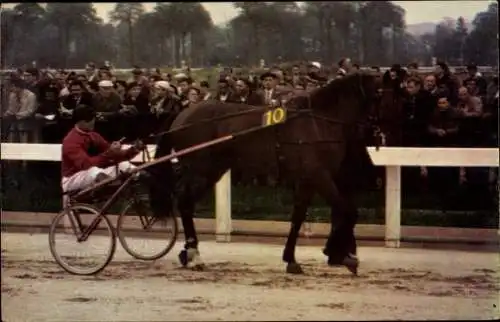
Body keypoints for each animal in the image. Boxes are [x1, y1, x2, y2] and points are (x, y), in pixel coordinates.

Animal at [146, 73, 380, 274]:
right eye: (379, 93)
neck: (317, 123)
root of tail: (181, 115)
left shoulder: (306, 180)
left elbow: (299, 217)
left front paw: (293, 259)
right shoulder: (318, 175)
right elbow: (347, 210)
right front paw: (343, 255)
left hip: (213, 170)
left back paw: (188, 253)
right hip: (200, 171)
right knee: (184, 202)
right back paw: (194, 254)